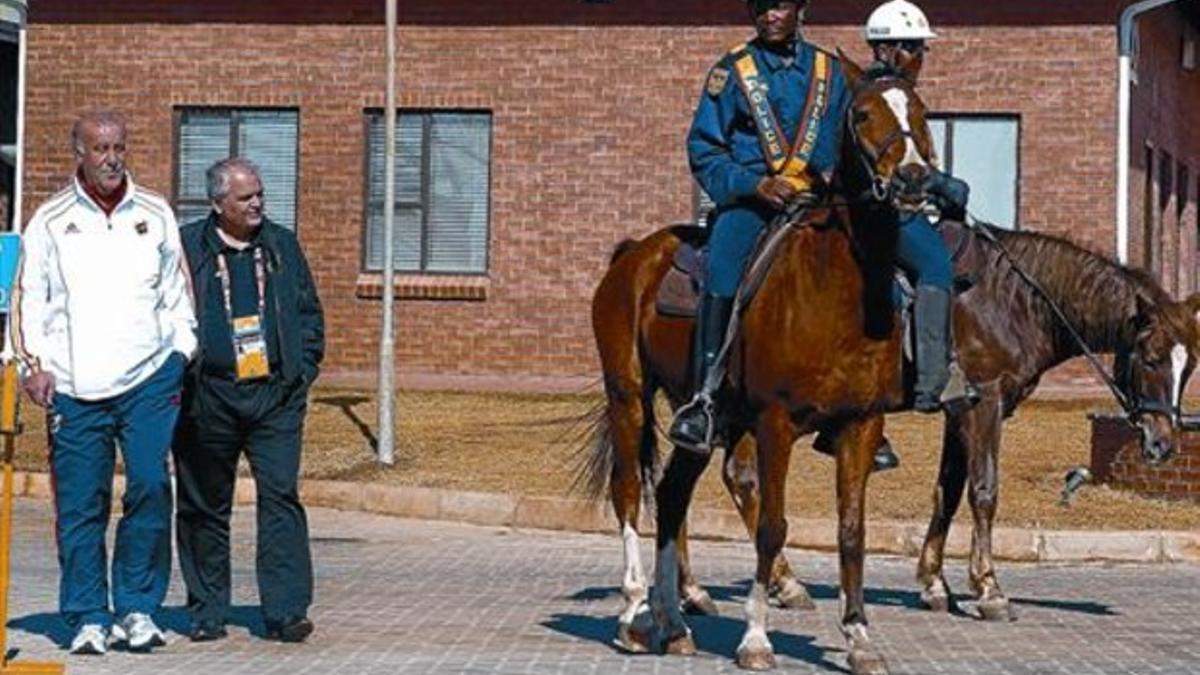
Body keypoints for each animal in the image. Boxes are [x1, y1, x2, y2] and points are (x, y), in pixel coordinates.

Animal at [588, 55, 926, 667]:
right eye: (863, 113)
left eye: (920, 111)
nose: (913, 179)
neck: (836, 290)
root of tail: (633, 255)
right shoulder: (775, 422)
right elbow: (772, 525)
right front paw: (756, 637)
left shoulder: (861, 425)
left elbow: (852, 531)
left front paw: (859, 638)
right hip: (628, 396)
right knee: (628, 492)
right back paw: (633, 614)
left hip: (700, 417)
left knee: (671, 495)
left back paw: (673, 623)